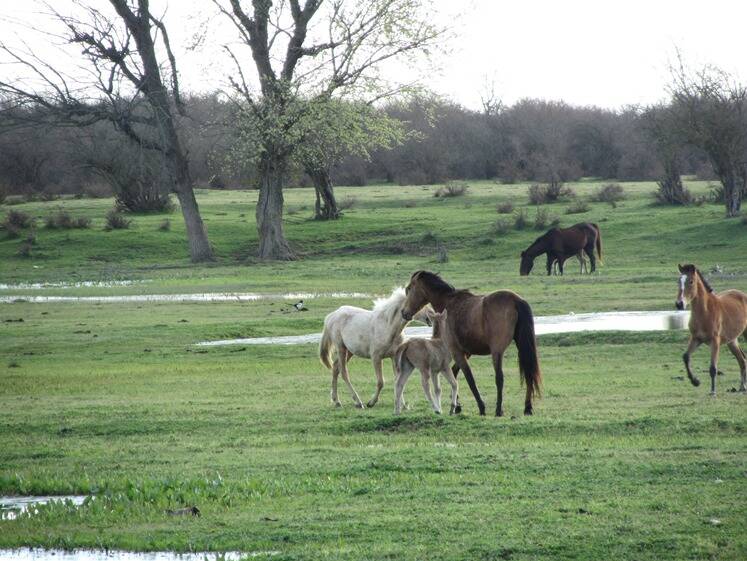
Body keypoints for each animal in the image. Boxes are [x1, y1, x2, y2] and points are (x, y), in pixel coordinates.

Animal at [400, 272, 540, 416]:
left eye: (409, 289)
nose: (403, 312)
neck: (449, 303)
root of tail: (516, 300)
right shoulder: (466, 353)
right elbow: (455, 374)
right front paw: (457, 406)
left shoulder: (456, 352)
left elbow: (469, 378)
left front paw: (481, 407)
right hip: (521, 346)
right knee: (528, 374)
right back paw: (527, 408)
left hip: (497, 352)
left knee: (499, 377)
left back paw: (498, 410)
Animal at [676, 264, 747, 392]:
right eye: (679, 281)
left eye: (691, 281)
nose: (679, 304)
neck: (705, 312)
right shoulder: (696, 339)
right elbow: (686, 357)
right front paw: (695, 381)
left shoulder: (715, 341)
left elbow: (713, 368)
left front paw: (713, 391)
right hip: (732, 341)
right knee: (742, 360)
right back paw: (742, 387)